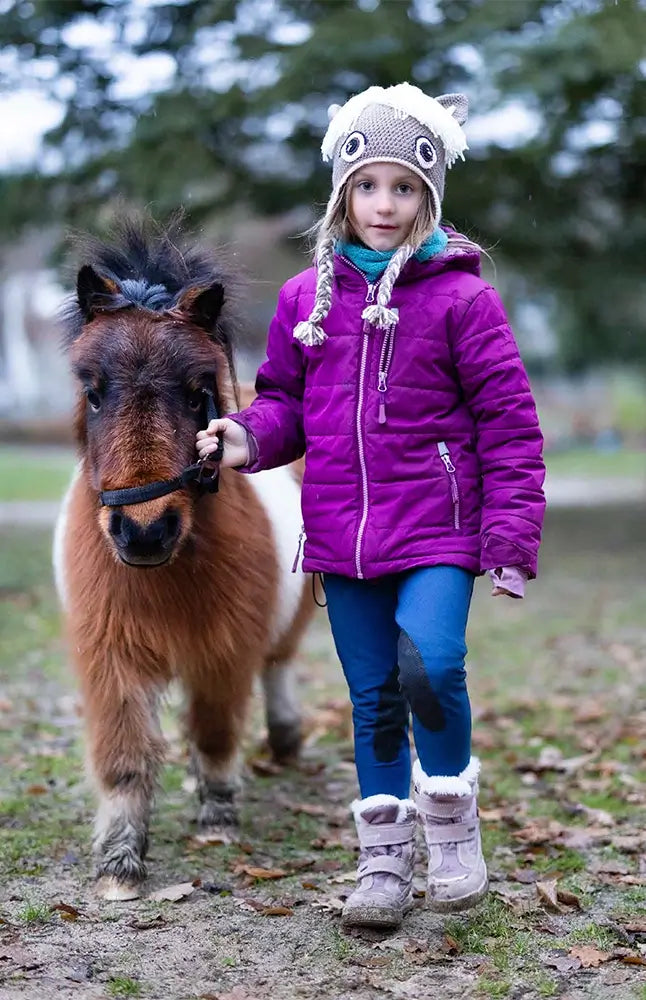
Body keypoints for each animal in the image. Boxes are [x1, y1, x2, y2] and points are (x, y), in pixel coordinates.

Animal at [53, 217, 311, 900]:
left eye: (199, 395)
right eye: (93, 393)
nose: (145, 533)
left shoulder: (224, 651)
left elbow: (217, 731)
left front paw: (218, 817)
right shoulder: (110, 657)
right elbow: (124, 758)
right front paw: (119, 863)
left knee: (279, 663)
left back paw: (283, 737)